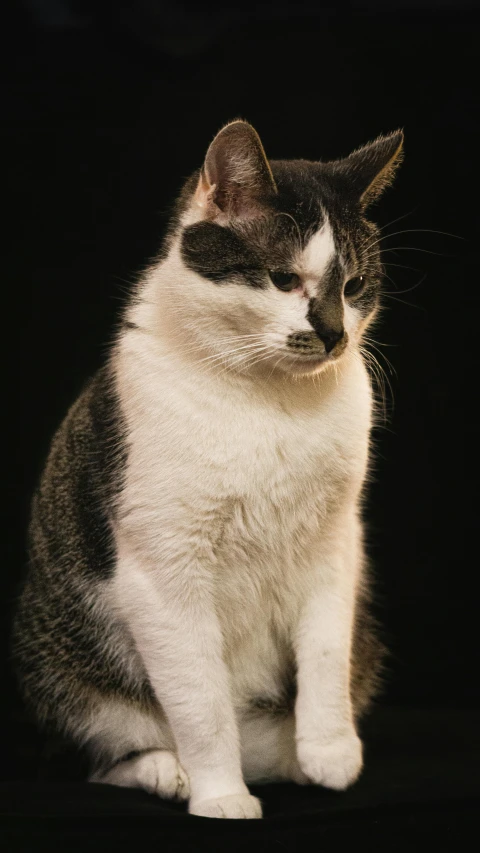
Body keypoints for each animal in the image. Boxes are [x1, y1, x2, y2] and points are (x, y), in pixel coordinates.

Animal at [10, 121, 402, 820]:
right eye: (283, 279)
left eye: (355, 286)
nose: (334, 335)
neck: (272, 403)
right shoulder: (164, 571)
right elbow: (202, 705)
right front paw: (220, 794)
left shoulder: (337, 541)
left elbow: (327, 652)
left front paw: (330, 751)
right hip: (63, 670)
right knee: (103, 758)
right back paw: (169, 772)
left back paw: (294, 762)